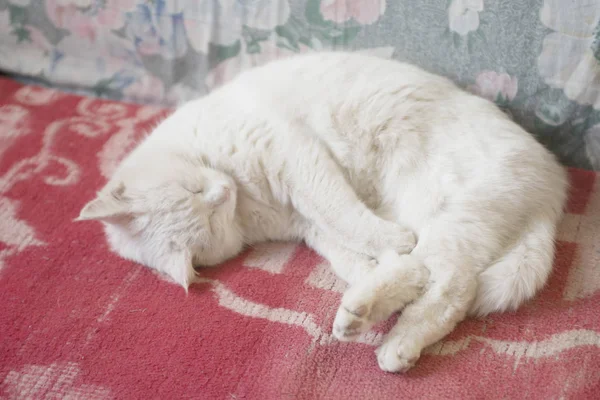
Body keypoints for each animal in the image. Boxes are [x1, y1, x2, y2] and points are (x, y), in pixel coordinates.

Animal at [76, 51, 568, 374]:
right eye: (209, 220)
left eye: (194, 191)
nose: (221, 192)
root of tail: (552, 186)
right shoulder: (308, 225)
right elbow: (351, 246)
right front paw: (386, 267)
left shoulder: (297, 159)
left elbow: (344, 212)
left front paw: (393, 245)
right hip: (461, 223)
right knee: (445, 285)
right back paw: (373, 319)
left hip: (455, 214)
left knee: (450, 285)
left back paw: (383, 331)